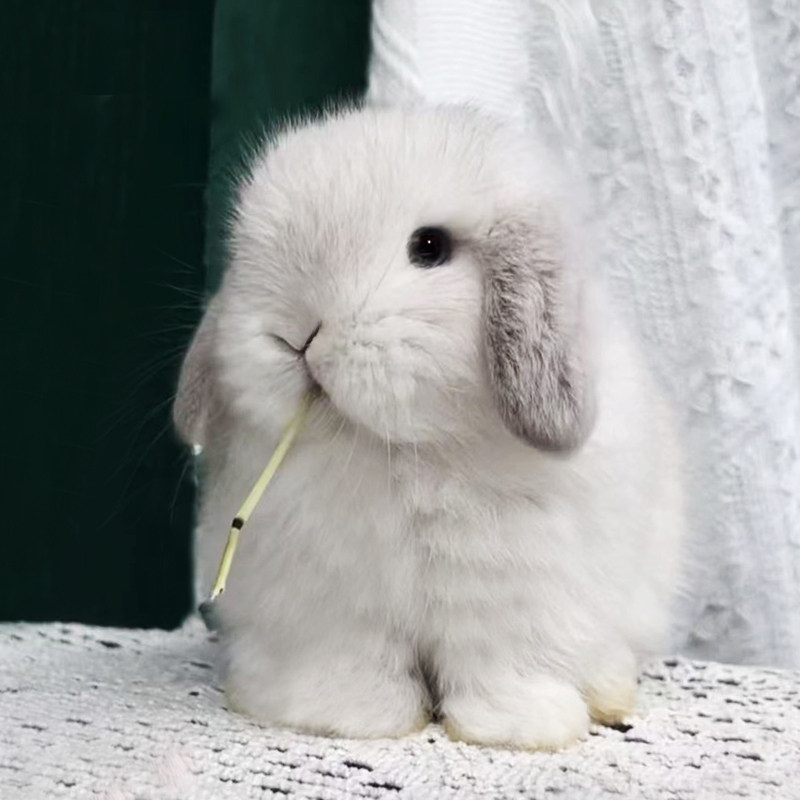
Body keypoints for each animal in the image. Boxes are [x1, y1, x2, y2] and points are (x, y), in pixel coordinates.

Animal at [174, 104, 683, 751]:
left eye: (430, 247)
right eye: (242, 253)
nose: (293, 336)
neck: (403, 451)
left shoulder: (513, 599)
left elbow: (503, 665)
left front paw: (520, 727)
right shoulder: (333, 609)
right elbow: (352, 662)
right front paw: (349, 715)